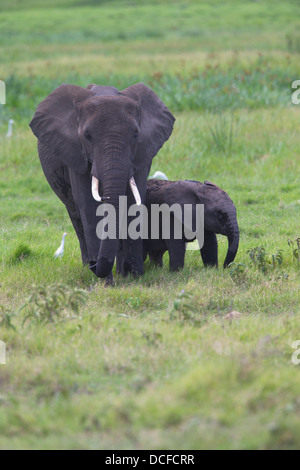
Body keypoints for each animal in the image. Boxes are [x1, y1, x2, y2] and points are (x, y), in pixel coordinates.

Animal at [29, 82, 175, 280]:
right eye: (87, 136)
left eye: (135, 135)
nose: (95, 264)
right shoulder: (75, 153)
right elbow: (89, 207)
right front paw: (107, 281)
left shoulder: (142, 154)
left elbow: (132, 202)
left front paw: (134, 276)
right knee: (76, 215)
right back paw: (87, 268)